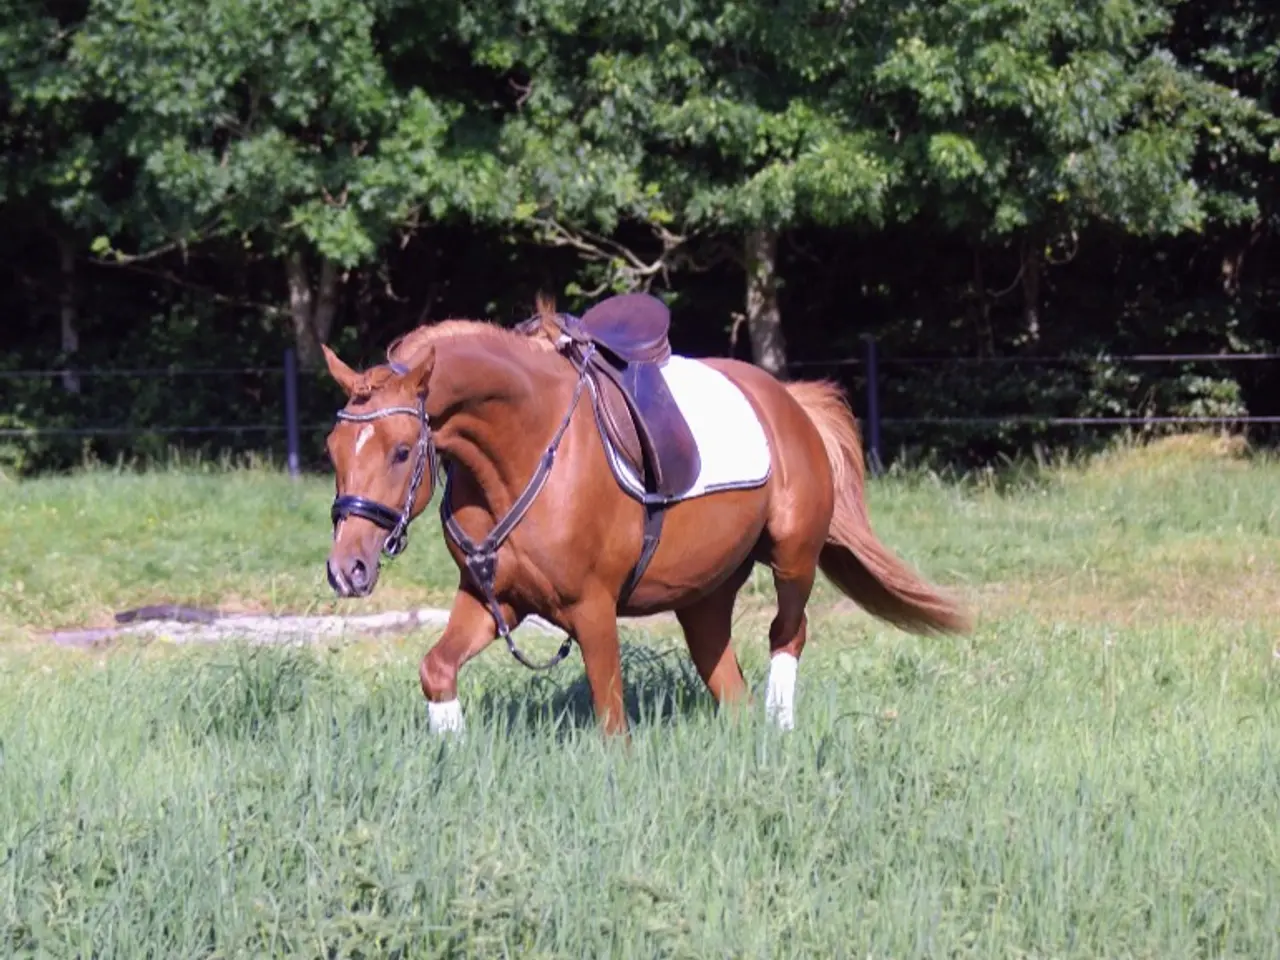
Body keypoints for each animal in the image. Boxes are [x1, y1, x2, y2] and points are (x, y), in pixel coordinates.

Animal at [321, 293, 971, 737]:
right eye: (333, 448)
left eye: (402, 450)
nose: (346, 570)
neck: (522, 449)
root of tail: (790, 400)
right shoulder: (492, 597)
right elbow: (437, 669)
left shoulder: (592, 608)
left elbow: (612, 718)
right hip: (704, 593)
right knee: (722, 671)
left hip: (794, 558)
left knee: (788, 633)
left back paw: (779, 727)